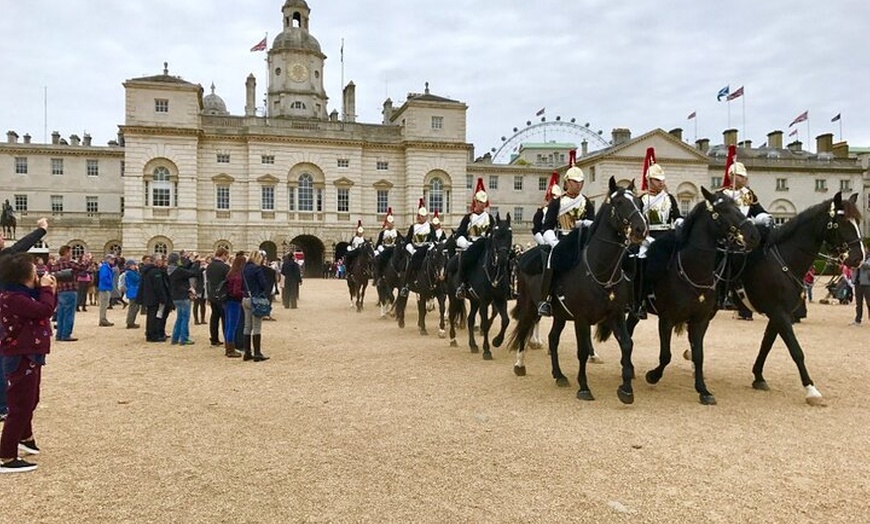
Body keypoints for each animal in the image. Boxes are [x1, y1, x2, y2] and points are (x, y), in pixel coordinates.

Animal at [450, 214, 510, 360]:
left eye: (509, 235)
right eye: (495, 236)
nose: (502, 259)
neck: (493, 273)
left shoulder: (500, 299)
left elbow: (505, 320)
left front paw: (497, 341)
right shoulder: (484, 301)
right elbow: (485, 324)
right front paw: (487, 350)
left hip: (474, 301)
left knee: (470, 319)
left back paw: (473, 345)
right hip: (455, 298)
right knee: (452, 315)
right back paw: (453, 339)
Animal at [510, 178, 648, 404]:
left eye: (639, 202)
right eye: (619, 203)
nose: (641, 230)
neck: (601, 272)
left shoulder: (615, 315)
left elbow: (627, 345)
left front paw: (626, 389)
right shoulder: (581, 319)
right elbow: (582, 351)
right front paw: (584, 387)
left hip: (560, 315)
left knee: (553, 339)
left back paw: (559, 375)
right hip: (530, 305)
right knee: (524, 329)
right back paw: (520, 364)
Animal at [628, 188, 764, 406]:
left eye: (738, 206)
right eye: (723, 210)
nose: (754, 235)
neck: (693, 272)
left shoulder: (700, 321)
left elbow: (699, 356)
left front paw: (703, 390)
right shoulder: (666, 320)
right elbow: (666, 355)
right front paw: (653, 376)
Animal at [736, 192, 864, 406]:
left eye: (858, 221)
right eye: (842, 221)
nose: (859, 258)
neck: (783, 259)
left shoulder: (779, 313)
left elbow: (766, 344)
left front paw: (758, 376)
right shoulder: (779, 313)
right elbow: (796, 350)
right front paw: (811, 389)